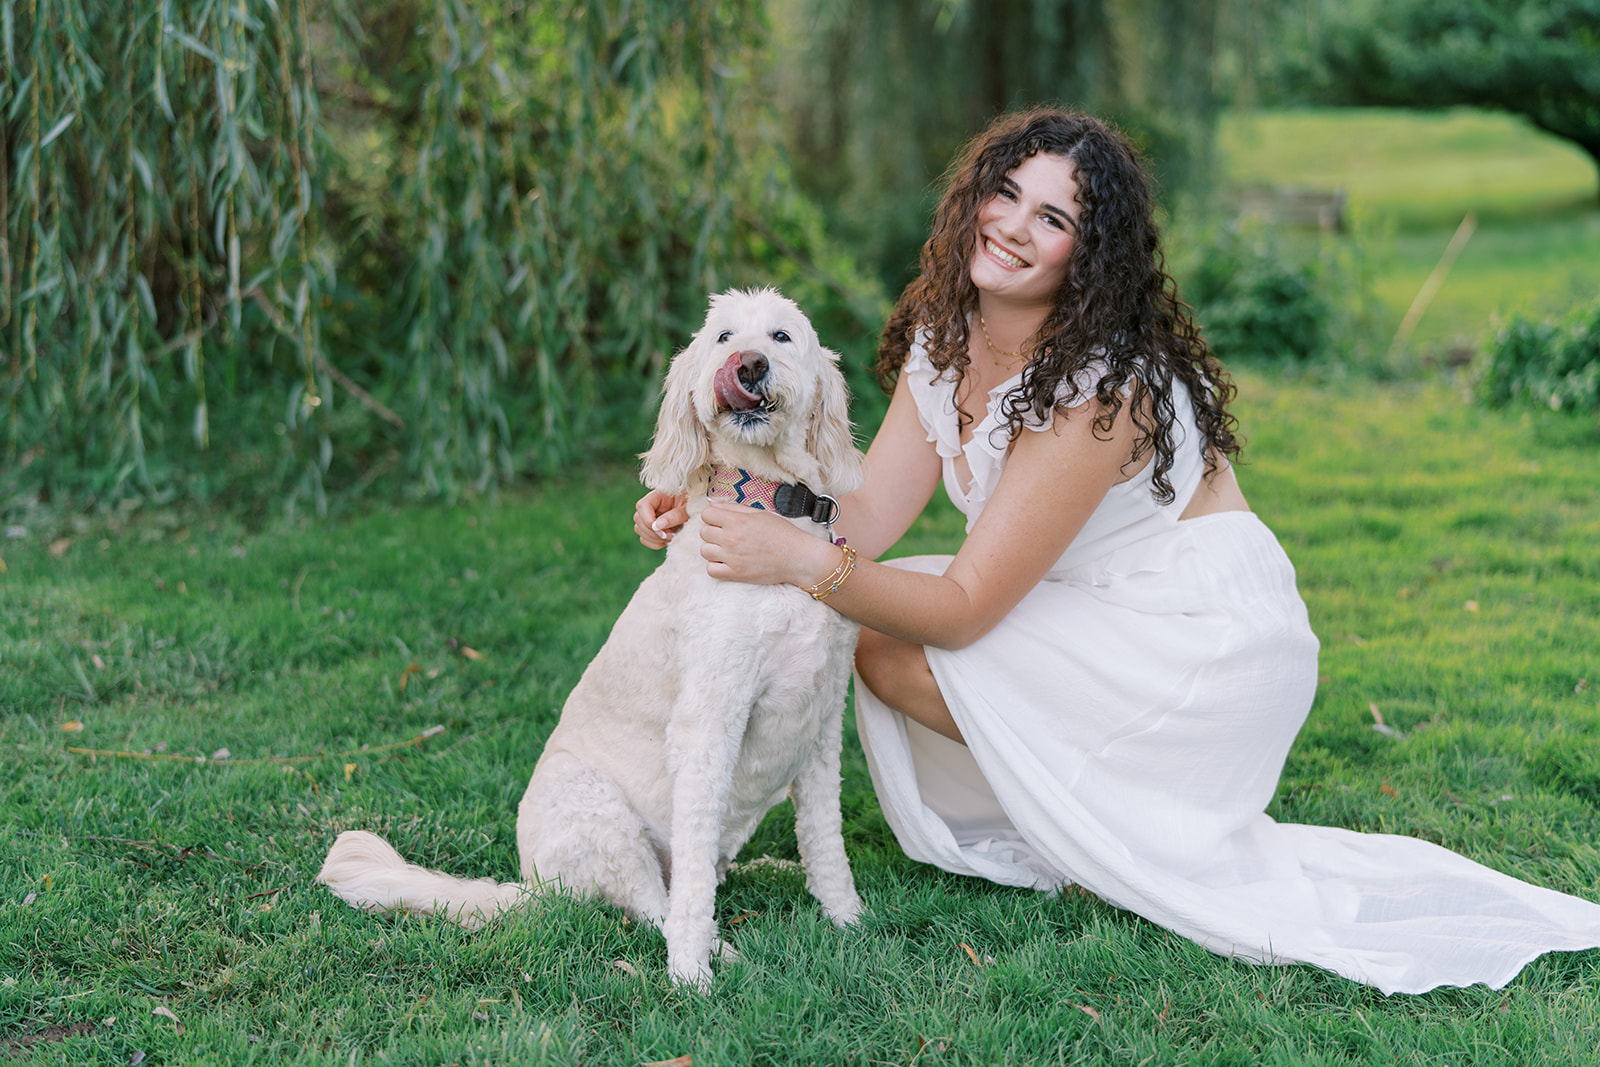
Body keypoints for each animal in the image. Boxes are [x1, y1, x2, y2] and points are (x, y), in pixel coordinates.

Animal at [320, 287, 870, 991]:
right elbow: (692, 881)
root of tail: (531, 885)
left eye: (781, 336)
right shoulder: (709, 726)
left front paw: (848, 921)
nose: (748, 365)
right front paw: (691, 975)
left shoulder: (821, 723)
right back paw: (717, 950)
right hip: (603, 820)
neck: (772, 515)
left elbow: (825, 838)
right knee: (660, 901)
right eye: (723, 338)